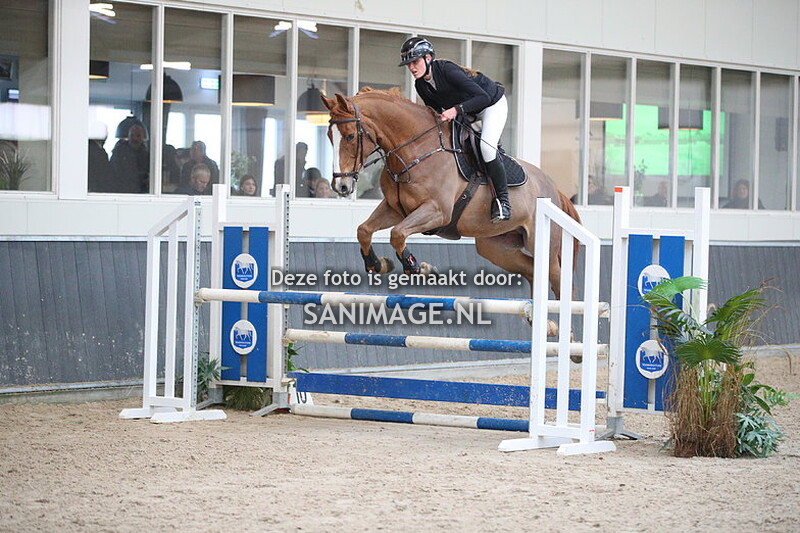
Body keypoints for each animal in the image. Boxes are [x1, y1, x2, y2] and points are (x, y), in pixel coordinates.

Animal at [321, 88, 580, 300]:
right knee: (531, 270)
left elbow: (397, 234)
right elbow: (364, 230)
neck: (415, 149)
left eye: (350, 136)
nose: (341, 186)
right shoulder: (396, 209)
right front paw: (379, 264)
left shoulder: (437, 211)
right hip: (496, 247)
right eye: (329, 136)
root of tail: (554, 188)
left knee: (559, 283)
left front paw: (418, 268)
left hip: (545, 247)